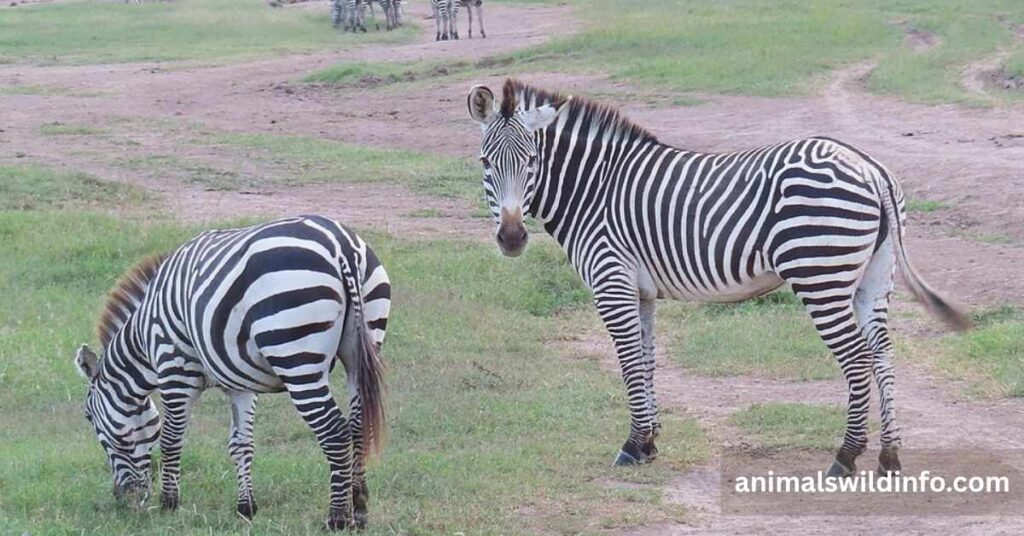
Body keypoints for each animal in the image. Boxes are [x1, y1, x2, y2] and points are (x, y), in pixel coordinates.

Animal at [73, 215, 391, 530]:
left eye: (88, 417)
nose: (123, 499)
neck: (143, 338)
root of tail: (341, 246)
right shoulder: (240, 383)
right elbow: (241, 444)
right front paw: (246, 508)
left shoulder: (174, 370)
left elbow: (171, 438)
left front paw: (169, 504)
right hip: (361, 348)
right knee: (358, 425)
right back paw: (359, 507)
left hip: (296, 358)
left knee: (335, 432)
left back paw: (337, 518)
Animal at [467, 79, 970, 477]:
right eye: (485, 163)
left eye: (532, 161)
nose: (512, 238)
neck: (594, 191)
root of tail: (869, 165)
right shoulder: (641, 291)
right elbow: (647, 359)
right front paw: (650, 442)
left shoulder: (612, 282)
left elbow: (628, 362)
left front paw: (631, 446)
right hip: (874, 278)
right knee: (883, 354)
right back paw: (889, 456)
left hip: (819, 277)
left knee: (857, 358)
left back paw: (846, 457)